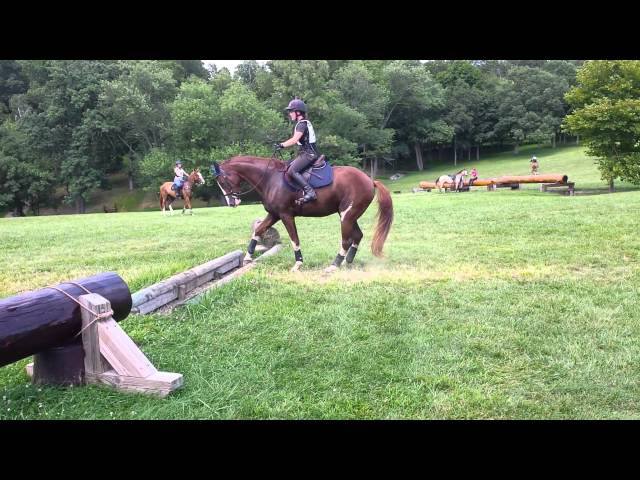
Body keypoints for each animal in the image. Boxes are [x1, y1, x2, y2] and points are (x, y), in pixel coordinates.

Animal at [211, 154, 394, 273]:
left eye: (223, 181)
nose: (232, 203)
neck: (270, 178)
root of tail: (369, 180)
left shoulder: (286, 215)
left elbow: (294, 239)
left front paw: (298, 264)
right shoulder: (274, 215)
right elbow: (258, 230)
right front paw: (248, 257)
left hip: (347, 216)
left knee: (346, 240)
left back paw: (334, 265)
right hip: (347, 216)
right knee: (357, 236)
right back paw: (346, 261)